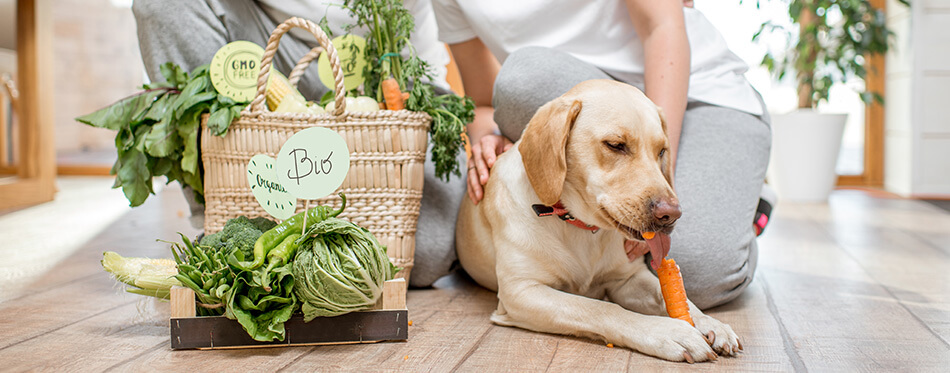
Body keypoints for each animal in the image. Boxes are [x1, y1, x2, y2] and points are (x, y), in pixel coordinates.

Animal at [458, 80, 740, 362]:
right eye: (615, 145)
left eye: (662, 151)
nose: (671, 214)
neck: (582, 228)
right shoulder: (522, 291)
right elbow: (600, 308)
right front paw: (670, 332)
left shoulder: (628, 278)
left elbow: (672, 297)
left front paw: (711, 323)